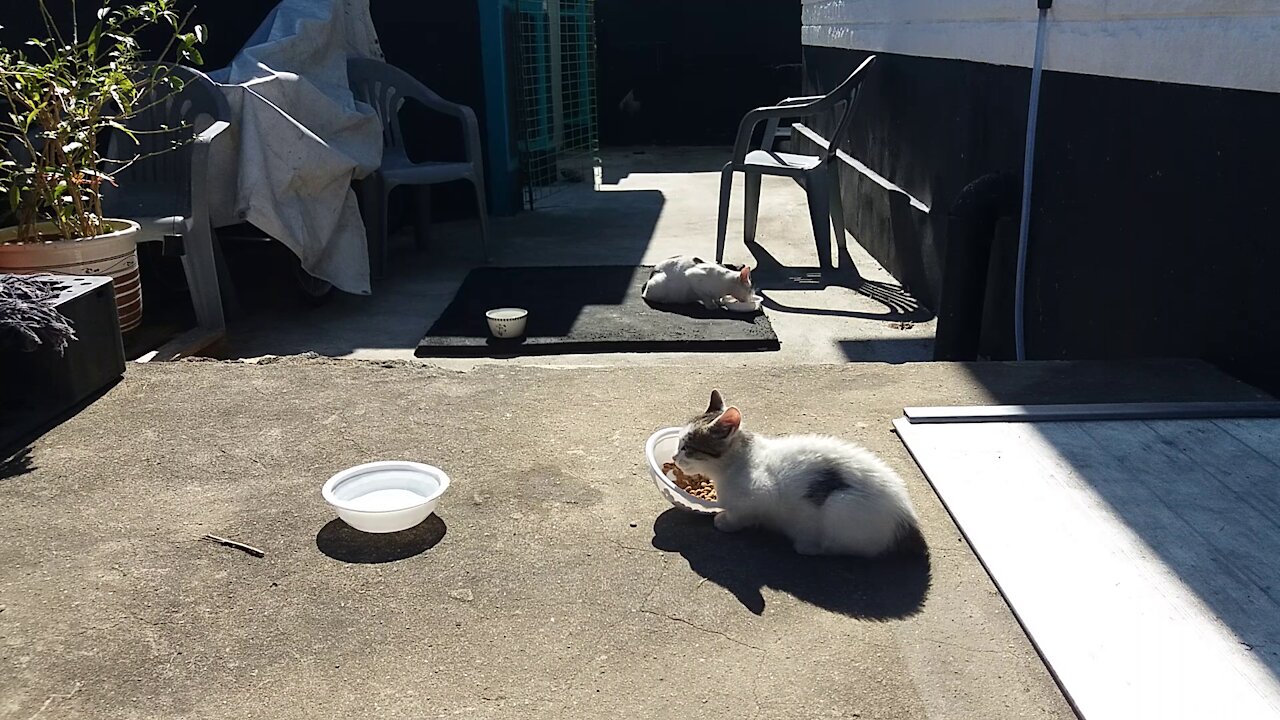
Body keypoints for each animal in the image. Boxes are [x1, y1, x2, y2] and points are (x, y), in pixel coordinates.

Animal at [670, 386, 921, 556]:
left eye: (687, 448)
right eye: (679, 443)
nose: (674, 457)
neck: (737, 462)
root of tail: (907, 520)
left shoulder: (760, 496)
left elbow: (743, 514)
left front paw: (725, 522)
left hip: (840, 506)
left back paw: (808, 545)